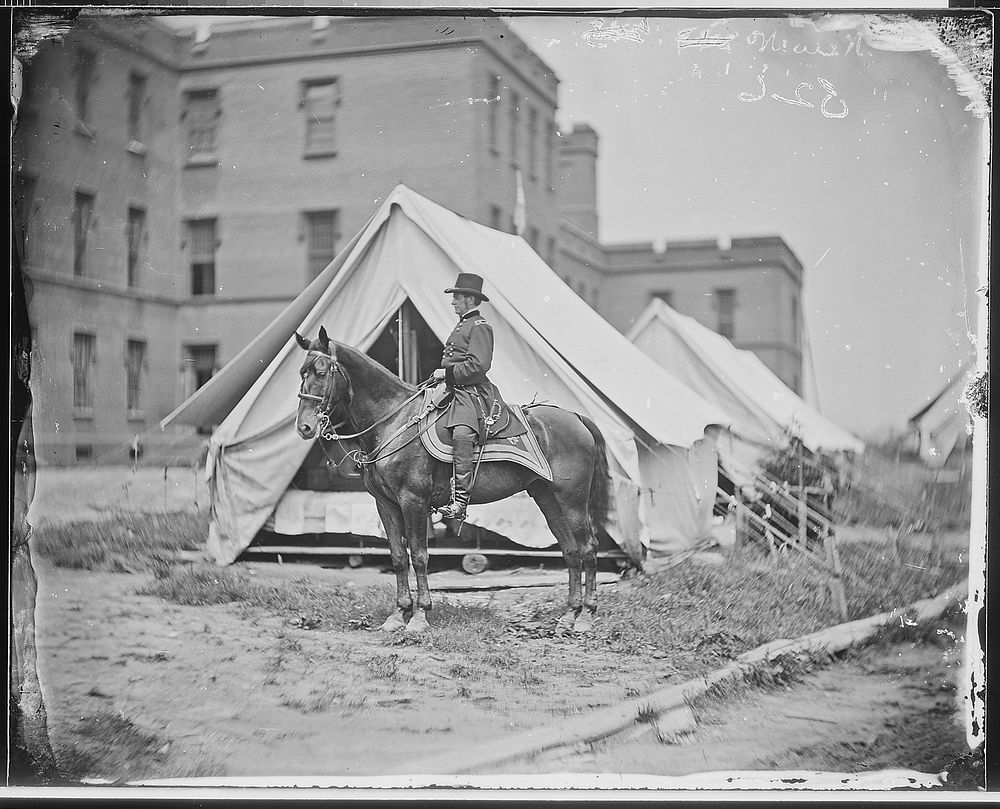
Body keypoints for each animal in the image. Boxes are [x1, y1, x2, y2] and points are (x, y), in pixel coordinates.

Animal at [292, 326, 612, 636]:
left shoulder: (413, 501)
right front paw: (397, 614)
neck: (393, 422)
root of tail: (575, 417)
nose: (304, 427)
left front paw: (419, 616)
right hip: (548, 498)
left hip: (572, 500)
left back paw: (586, 616)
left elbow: (419, 555)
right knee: (571, 551)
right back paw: (568, 616)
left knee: (588, 548)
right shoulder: (385, 504)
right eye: (301, 373)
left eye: (321, 372)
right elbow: (398, 556)